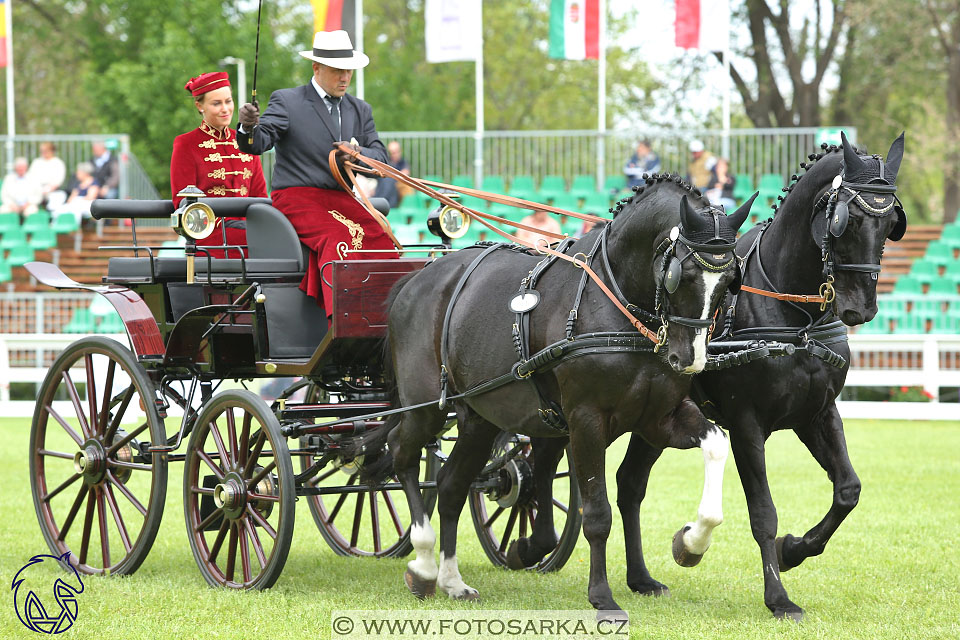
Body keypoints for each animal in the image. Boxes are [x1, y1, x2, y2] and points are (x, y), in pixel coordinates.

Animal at [364, 180, 752, 616]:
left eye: (730, 279)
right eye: (681, 275)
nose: (689, 359)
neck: (616, 300)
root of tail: (417, 278)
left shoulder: (657, 418)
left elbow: (716, 445)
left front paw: (691, 542)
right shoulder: (585, 419)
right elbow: (596, 513)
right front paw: (602, 598)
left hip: (481, 418)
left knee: (450, 486)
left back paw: (452, 580)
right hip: (427, 407)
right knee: (403, 453)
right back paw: (425, 562)